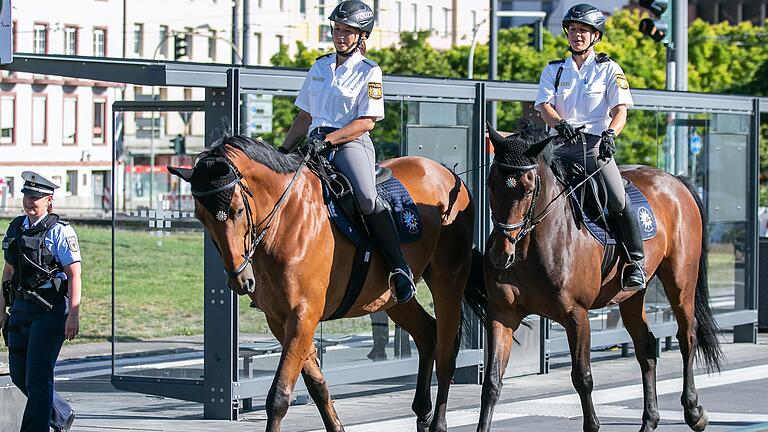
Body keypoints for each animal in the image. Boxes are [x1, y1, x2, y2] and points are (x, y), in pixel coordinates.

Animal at [171, 136, 476, 432]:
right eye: (200, 217)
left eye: (235, 211)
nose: (239, 279)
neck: (286, 219)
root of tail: (449, 174)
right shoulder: (280, 320)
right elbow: (317, 384)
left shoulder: (303, 315)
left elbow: (280, 395)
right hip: (390, 298)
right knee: (427, 333)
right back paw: (422, 412)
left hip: (448, 283)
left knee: (446, 354)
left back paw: (437, 423)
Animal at [462, 122, 728, 432]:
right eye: (490, 184)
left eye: (528, 188)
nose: (500, 254)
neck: (532, 244)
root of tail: (675, 180)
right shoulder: (502, 314)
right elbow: (492, 381)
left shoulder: (576, 314)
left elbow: (582, 376)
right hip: (631, 296)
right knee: (646, 347)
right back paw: (649, 420)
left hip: (680, 282)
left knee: (687, 336)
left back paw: (694, 412)